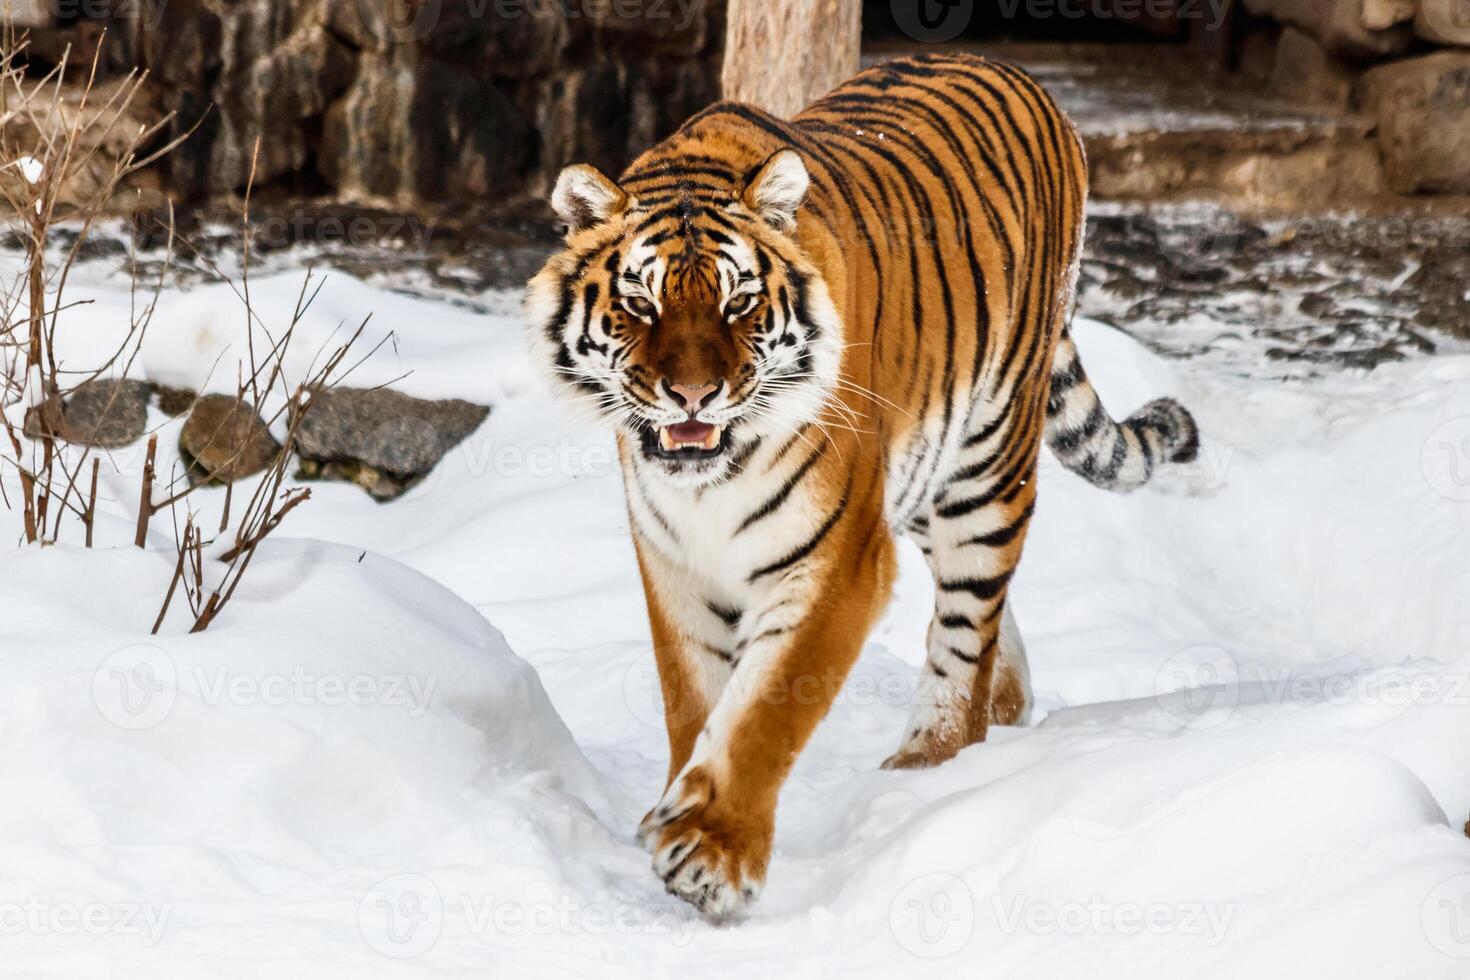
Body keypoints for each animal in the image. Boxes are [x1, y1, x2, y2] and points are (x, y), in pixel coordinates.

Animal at [523, 51, 1199, 910]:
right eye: (640, 302)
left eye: (739, 303)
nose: (693, 396)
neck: (709, 481)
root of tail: (1017, 71)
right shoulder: (673, 559)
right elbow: (696, 699)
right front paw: (677, 807)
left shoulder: (837, 557)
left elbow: (765, 709)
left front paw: (713, 851)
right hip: (920, 477)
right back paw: (1006, 707)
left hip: (986, 462)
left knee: (966, 626)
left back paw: (929, 763)